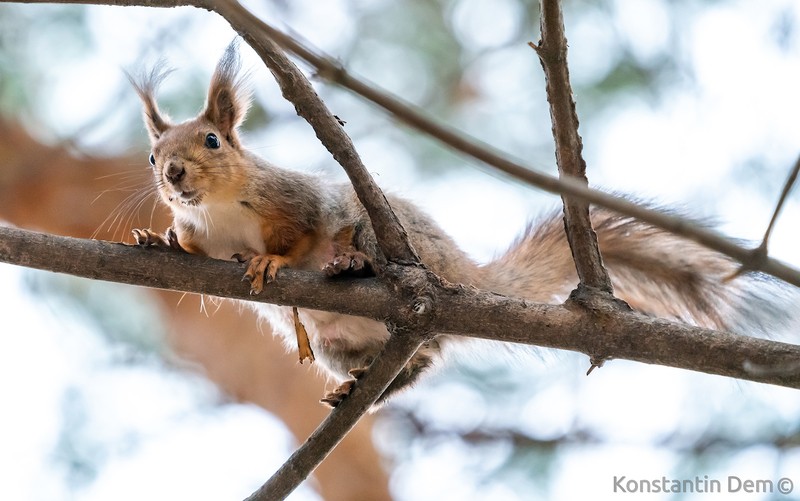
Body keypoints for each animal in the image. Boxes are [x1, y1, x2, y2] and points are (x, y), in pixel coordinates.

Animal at [130, 43, 756, 408]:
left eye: (213, 140)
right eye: (153, 156)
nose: (174, 174)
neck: (215, 209)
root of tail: (461, 273)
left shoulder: (297, 200)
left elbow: (301, 234)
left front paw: (271, 259)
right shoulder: (208, 235)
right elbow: (198, 251)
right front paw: (160, 239)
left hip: (386, 234)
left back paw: (351, 263)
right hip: (338, 346)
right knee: (420, 360)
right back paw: (361, 385)